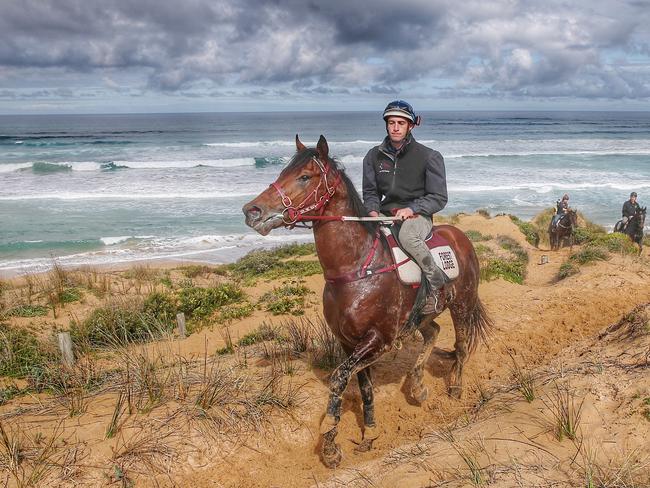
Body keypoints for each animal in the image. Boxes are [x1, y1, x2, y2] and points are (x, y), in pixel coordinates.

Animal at [243, 135, 492, 468]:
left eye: (304, 177)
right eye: (282, 171)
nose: (252, 211)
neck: (357, 268)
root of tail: (460, 236)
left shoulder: (378, 340)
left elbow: (339, 378)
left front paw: (330, 444)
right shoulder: (350, 342)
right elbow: (364, 387)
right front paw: (370, 432)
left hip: (462, 305)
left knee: (461, 346)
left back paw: (455, 388)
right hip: (421, 317)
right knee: (433, 332)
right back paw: (417, 386)